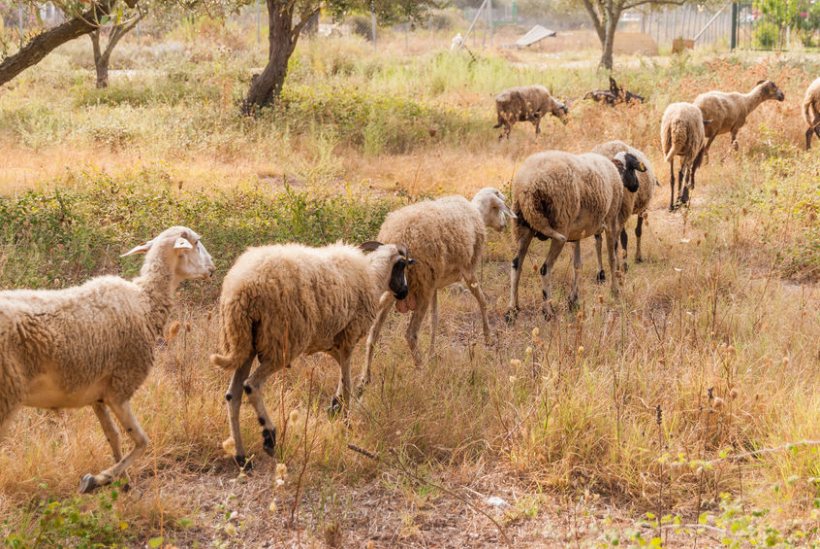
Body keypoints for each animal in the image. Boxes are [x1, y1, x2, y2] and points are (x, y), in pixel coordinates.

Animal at [0, 225, 215, 490]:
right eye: (196, 243)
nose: (213, 268)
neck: (145, 303)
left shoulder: (98, 396)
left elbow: (113, 436)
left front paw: (123, 482)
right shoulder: (120, 389)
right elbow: (141, 441)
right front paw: (99, 479)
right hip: (7, 392)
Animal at [208, 240, 414, 466]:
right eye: (404, 265)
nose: (404, 292)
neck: (374, 276)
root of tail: (241, 288)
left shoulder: (335, 344)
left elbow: (342, 380)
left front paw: (335, 408)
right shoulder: (347, 339)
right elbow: (347, 385)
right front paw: (346, 422)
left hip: (245, 343)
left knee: (232, 395)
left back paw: (241, 457)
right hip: (281, 343)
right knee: (251, 385)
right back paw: (269, 437)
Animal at [358, 186, 512, 388]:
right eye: (498, 207)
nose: (504, 226)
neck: (477, 212)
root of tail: (397, 236)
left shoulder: (435, 286)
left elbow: (435, 319)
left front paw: (432, 354)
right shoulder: (468, 271)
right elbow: (482, 299)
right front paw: (488, 336)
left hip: (399, 287)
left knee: (374, 330)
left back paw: (365, 376)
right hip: (422, 284)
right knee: (411, 334)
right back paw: (421, 370)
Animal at [506, 150, 648, 322]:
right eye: (633, 169)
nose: (636, 186)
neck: (617, 172)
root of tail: (528, 186)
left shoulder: (576, 235)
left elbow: (577, 265)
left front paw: (573, 300)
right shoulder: (611, 221)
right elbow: (612, 258)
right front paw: (615, 291)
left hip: (523, 226)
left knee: (516, 265)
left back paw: (512, 310)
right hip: (560, 226)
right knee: (545, 269)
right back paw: (548, 311)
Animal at [588, 138, 660, 272]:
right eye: (632, 168)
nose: (636, 185)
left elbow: (623, 238)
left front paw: (619, 265)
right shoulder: (621, 213)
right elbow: (623, 238)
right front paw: (623, 266)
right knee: (601, 240)